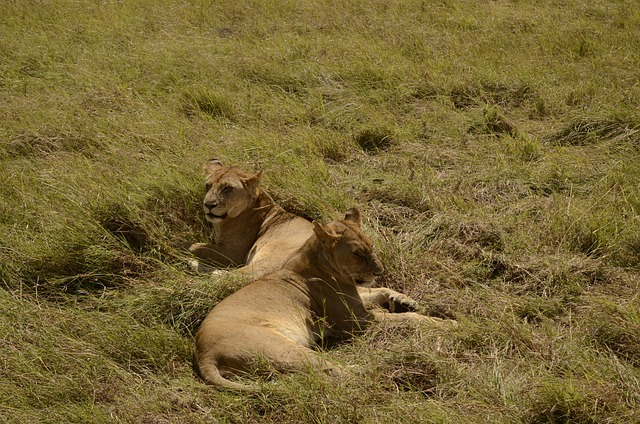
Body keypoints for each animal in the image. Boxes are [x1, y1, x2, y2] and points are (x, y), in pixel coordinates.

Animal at [186, 161, 420, 314]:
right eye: (208, 185)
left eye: (227, 188)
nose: (208, 204)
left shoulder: (232, 253)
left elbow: (193, 246)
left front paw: (188, 253)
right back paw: (403, 301)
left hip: (262, 263)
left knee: (226, 278)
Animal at [192, 209, 448, 390]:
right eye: (357, 253)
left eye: (371, 246)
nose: (379, 271)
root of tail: (203, 353)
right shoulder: (357, 321)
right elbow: (410, 319)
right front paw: (445, 323)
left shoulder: (356, 297)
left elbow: (381, 291)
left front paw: (404, 300)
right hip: (283, 349)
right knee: (332, 371)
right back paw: (381, 370)